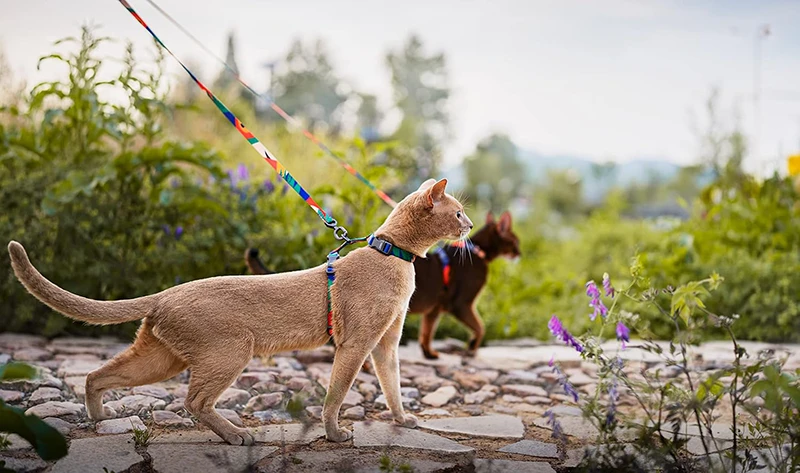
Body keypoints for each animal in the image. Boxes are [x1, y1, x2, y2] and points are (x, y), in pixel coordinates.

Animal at [7, 179, 468, 444]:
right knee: (193, 402)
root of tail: (166, 293)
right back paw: (237, 436)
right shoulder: (356, 344)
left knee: (97, 375)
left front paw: (404, 421)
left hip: (161, 358)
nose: (468, 225)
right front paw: (336, 435)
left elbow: (392, 385)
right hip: (231, 351)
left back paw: (99, 417)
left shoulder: (386, 342)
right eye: (459, 211)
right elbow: (336, 395)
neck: (394, 254)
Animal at [252, 210, 524, 358]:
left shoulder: (435, 309)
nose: (520, 253)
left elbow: (427, 333)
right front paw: (471, 348)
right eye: (516, 241)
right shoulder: (461, 304)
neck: (478, 251)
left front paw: (429, 354)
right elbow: (480, 327)